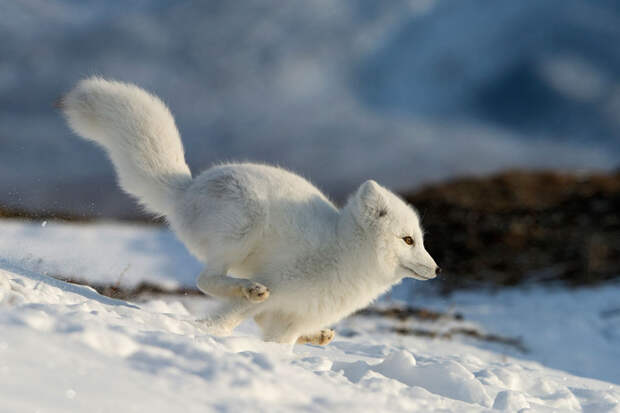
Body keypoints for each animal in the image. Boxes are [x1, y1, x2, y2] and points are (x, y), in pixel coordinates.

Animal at [59, 76, 440, 344]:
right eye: (407, 240)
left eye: (420, 240)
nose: (436, 269)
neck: (343, 253)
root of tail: (187, 188)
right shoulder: (281, 285)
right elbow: (229, 318)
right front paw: (209, 334)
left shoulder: (290, 319)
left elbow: (278, 340)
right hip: (244, 227)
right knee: (207, 280)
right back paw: (249, 289)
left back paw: (317, 336)